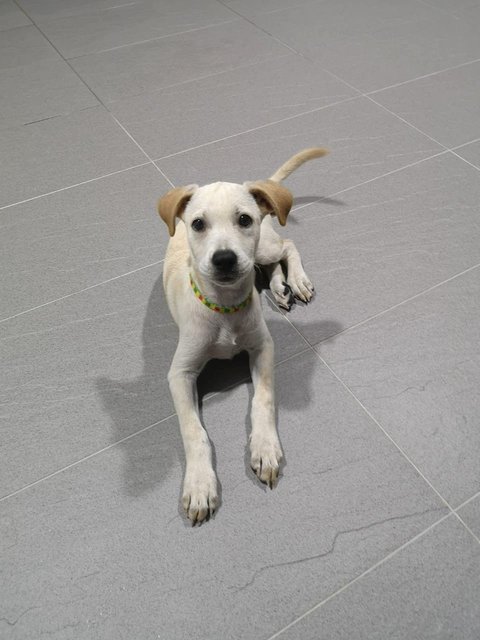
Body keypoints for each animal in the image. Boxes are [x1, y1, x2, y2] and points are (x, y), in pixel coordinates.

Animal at [157, 148, 326, 524]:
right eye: (198, 224)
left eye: (244, 220)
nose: (224, 259)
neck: (225, 308)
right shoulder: (179, 373)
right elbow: (193, 431)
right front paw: (200, 485)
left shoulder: (263, 347)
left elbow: (262, 400)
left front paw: (264, 449)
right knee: (273, 264)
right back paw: (279, 288)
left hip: (264, 246)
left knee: (287, 245)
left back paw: (296, 281)